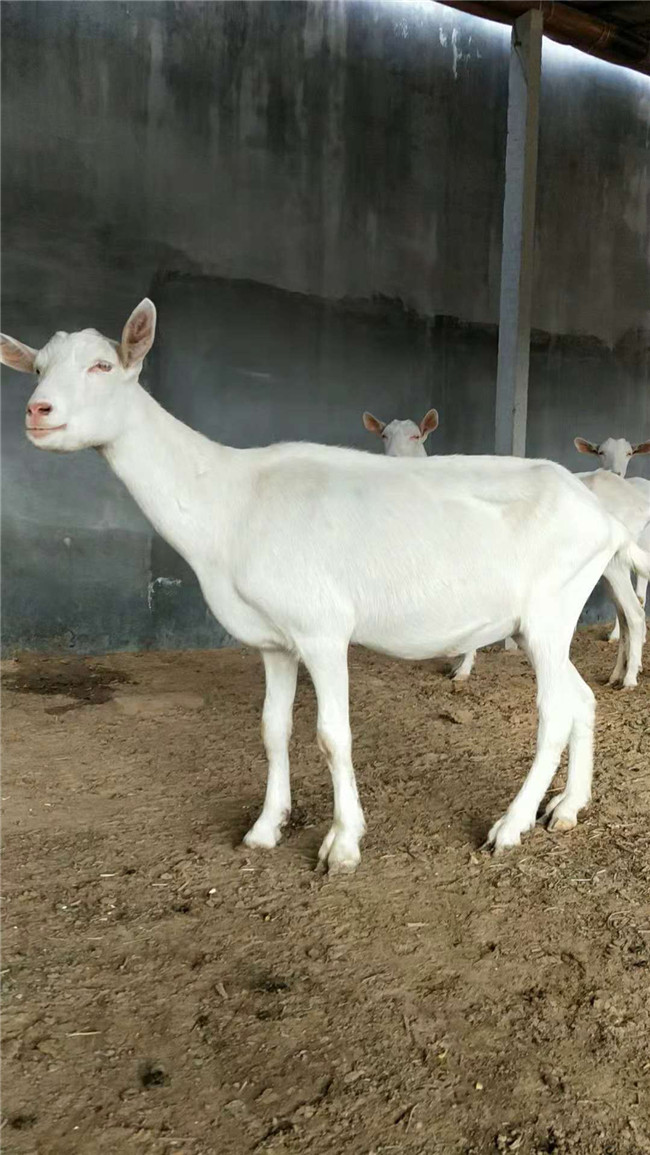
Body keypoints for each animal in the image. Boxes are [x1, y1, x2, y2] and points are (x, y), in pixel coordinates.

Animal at [2, 297, 646, 868]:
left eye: (102, 366)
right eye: (36, 368)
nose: (37, 411)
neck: (228, 501)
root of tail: (600, 513)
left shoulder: (322, 630)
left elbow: (333, 734)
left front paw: (342, 845)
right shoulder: (273, 639)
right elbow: (273, 728)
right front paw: (266, 827)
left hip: (549, 610)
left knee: (555, 712)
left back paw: (510, 826)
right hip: (551, 616)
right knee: (582, 700)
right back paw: (567, 808)